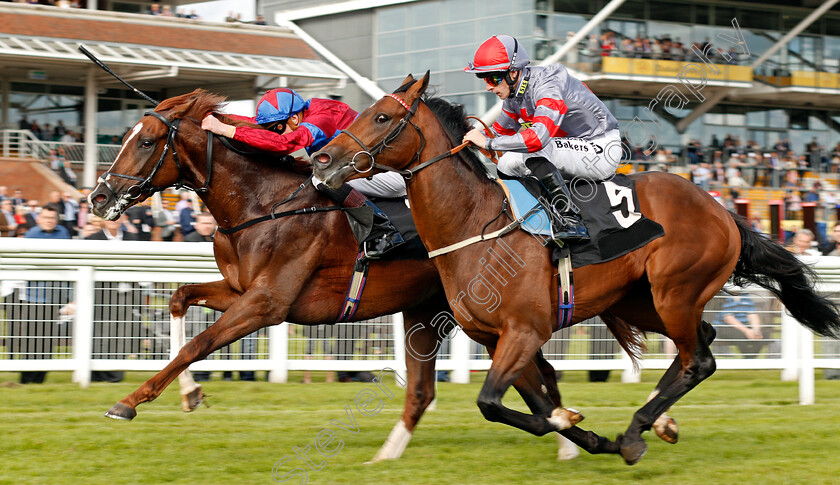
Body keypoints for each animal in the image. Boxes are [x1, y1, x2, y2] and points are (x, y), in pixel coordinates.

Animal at [85, 89, 584, 464]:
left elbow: (198, 343)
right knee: (528, 372)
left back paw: (565, 437)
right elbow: (179, 298)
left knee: (530, 371)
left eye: (146, 142)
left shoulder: (267, 303)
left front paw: (129, 402)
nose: (97, 197)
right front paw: (190, 395)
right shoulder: (240, 290)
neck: (263, 204)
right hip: (443, 310)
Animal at [312, 73, 840, 466]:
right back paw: (656, 423)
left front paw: (574, 424)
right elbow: (529, 403)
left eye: (382, 116)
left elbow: (494, 403)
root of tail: (721, 209)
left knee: (699, 360)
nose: (322, 157)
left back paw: (637, 431)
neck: (477, 224)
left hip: (676, 290)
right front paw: (584, 434)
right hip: (640, 299)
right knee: (704, 341)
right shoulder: (497, 338)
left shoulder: (525, 330)